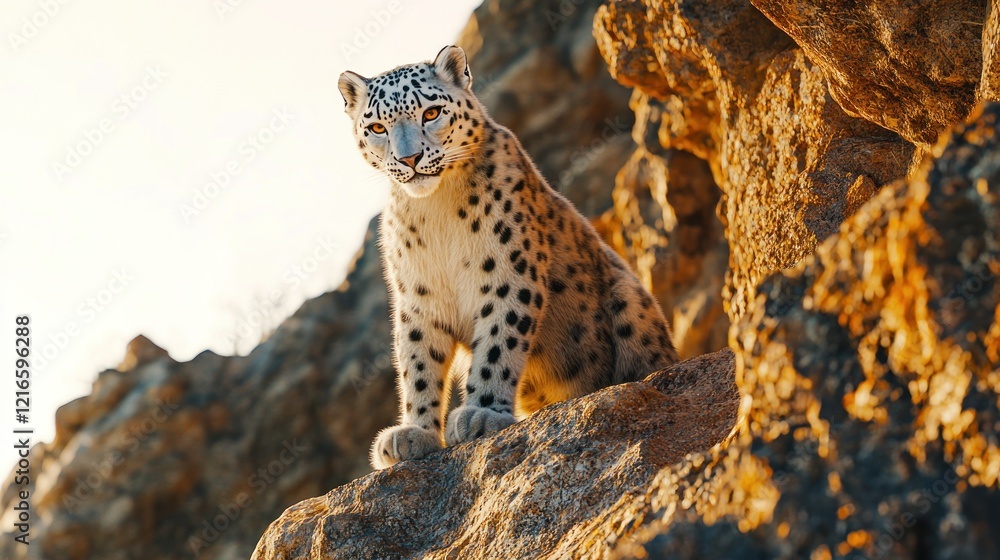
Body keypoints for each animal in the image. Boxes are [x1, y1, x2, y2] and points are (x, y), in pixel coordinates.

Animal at [338, 46, 679, 470]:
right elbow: (418, 362)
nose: (410, 159)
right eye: (377, 128)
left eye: (431, 113)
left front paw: (481, 413)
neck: (436, 209)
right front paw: (414, 433)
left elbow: (498, 343)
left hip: (630, 298)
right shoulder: (419, 296)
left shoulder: (506, 272)